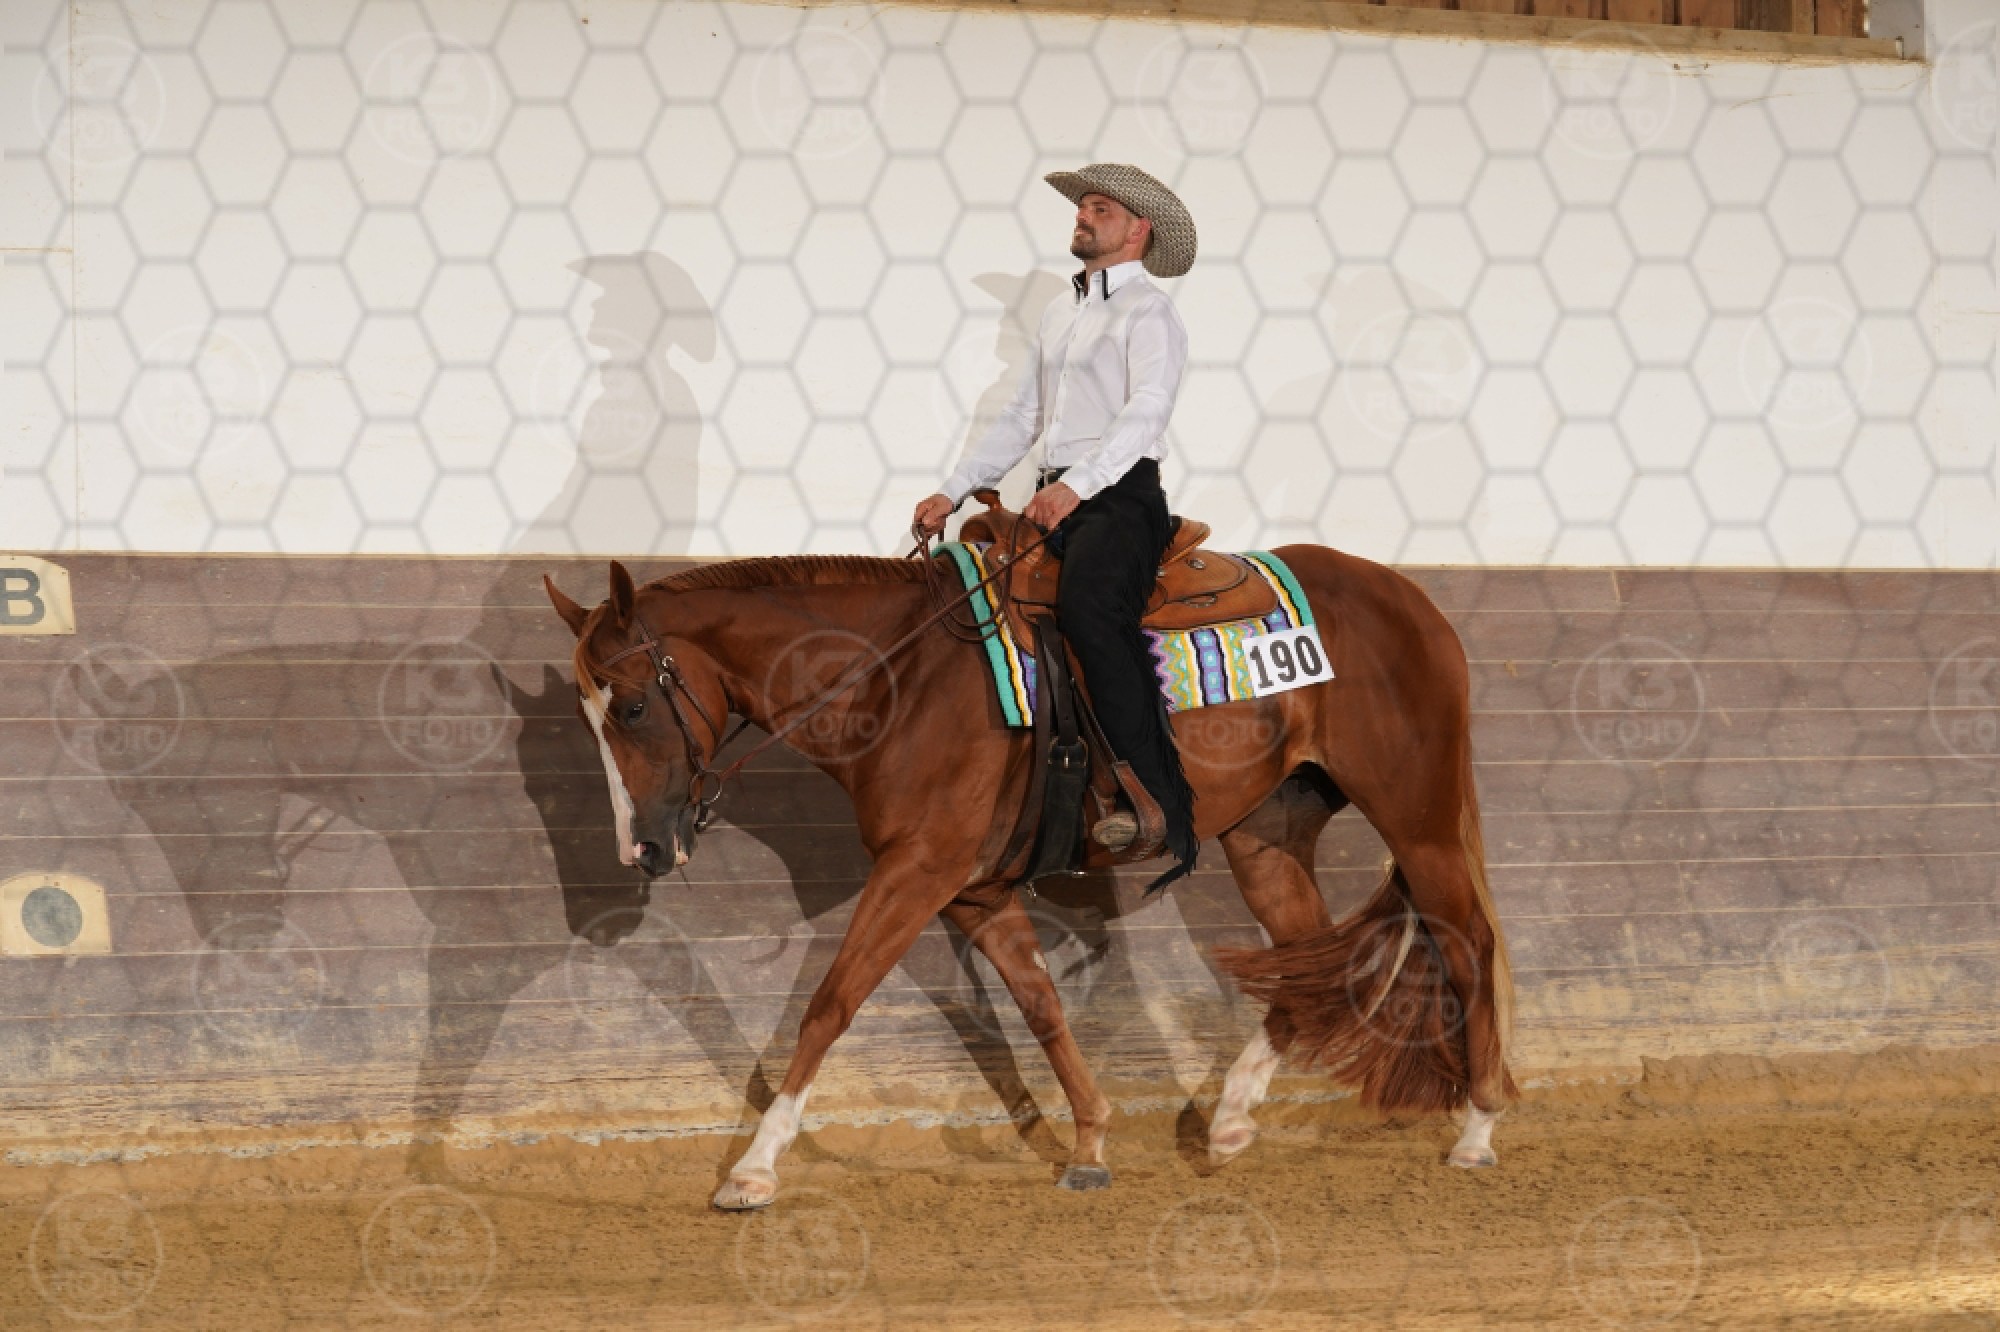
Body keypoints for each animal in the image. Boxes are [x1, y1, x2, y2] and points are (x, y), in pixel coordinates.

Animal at [543, 543, 1516, 1210]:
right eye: (588, 716)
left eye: (634, 706)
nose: (642, 851)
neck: (898, 679)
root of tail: (1410, 596)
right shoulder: (974, 891)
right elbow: (1041, 1005)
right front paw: (1089, 1143)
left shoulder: (918, 872)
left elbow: (832, 1003)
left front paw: (751, 1168)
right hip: (1267, 833)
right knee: (1312, 965)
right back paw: (1233, 1116)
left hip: (1419, 816)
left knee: (1468, 943)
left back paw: (1476, 1129)